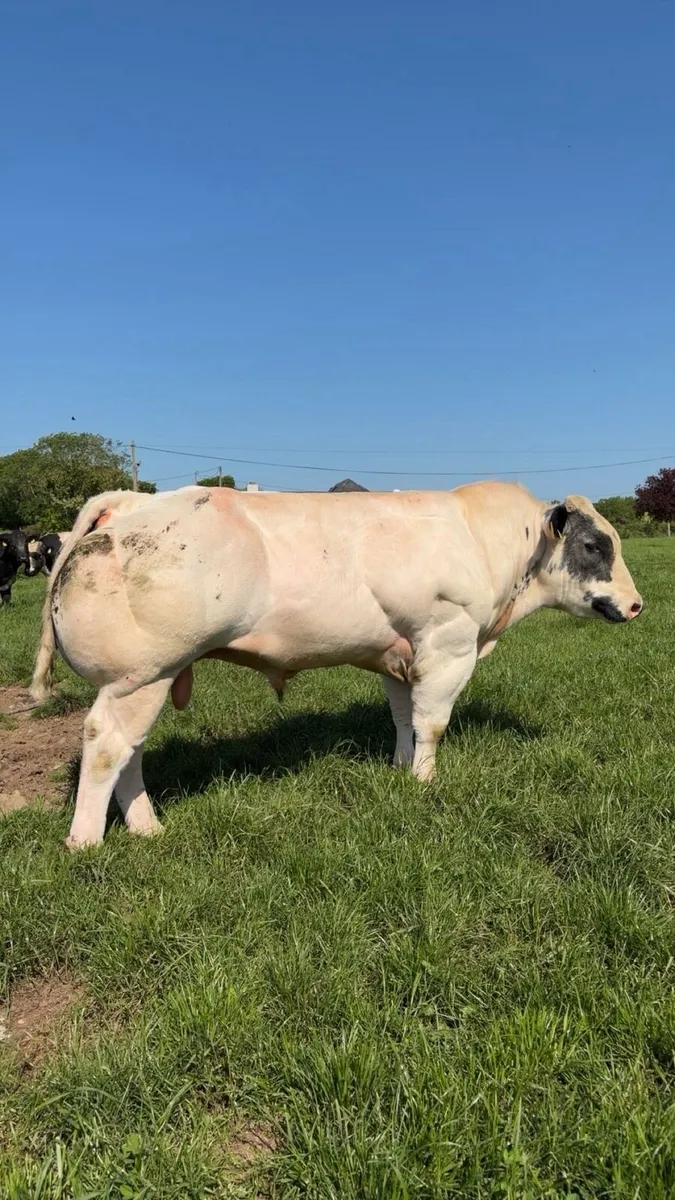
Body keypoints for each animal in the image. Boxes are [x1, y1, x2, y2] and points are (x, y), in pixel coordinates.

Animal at [30, 482, 642, 850]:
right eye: (594, 545)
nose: (637, 604)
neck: (484, 541)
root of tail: (136, 500)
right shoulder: (447, 643)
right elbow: (433, 723)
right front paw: (425, 782)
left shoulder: (400, 655)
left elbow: (403, 718)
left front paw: (400, 769)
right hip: (140, 676)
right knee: (106, 745)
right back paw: (87, 842)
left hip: (145, 680)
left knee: (130, 752)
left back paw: (148, 829)